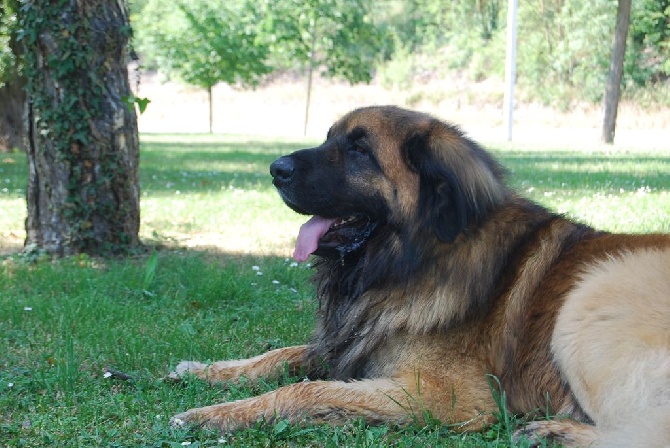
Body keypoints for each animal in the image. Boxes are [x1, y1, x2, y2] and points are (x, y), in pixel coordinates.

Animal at [169, 107, 670, 446]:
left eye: (359, 149)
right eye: (330, 138)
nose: (276, 169)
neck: (415, 256)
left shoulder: (447, 395)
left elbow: (305, 391)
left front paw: (210, 415)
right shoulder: (360, 340)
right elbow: (283, 356)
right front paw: (202, 370)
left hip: (590, 297)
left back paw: (555, 432)